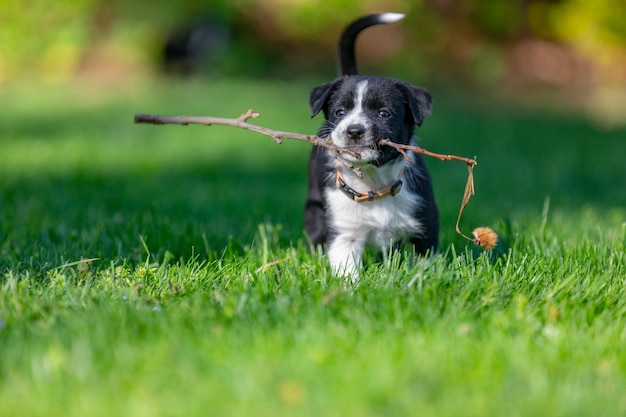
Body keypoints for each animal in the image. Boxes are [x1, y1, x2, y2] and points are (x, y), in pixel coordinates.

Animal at [304, 12, 438, 280]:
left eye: (384, 113)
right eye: (340, 112)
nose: (354, 130)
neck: (374, 183)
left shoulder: (425, 227)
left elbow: (423, 266)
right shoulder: (344, 234)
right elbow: (346, 271)